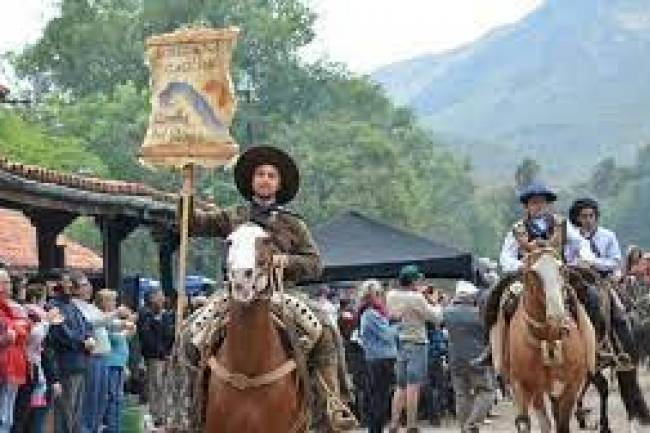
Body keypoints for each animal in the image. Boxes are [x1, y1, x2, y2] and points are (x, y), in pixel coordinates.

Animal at [506, 250, 592, 432]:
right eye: (533, 272)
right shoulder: (520, 384)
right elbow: (524, 421)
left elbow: (562, 424)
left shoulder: (571, 386)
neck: (548, 338)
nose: (558, 319)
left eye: (561, 268)